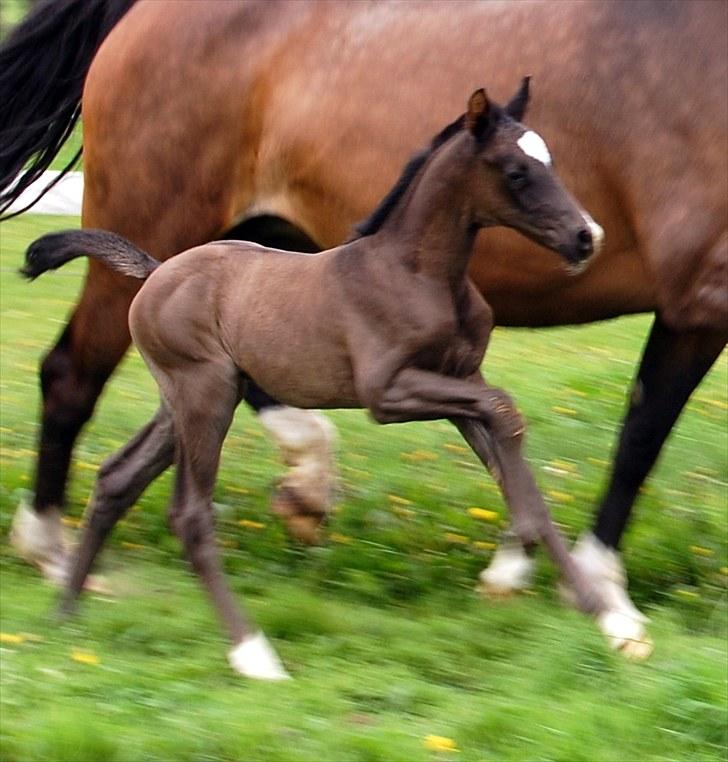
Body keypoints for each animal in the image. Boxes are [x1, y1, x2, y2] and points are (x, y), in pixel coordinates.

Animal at [21, 84, 624, 676]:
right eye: (516, 171)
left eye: (551, 160)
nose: (587, 237)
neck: (419, 273)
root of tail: (155, 271)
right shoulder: (387, 392)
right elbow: (502, 407)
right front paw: (541, 565)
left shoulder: (458, 380)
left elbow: (511, 451)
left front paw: (605, 615)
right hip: (205, 396)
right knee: (189, 514)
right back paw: (253, 654)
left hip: (188, 402)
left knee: (116, 479)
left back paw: (66, 612)